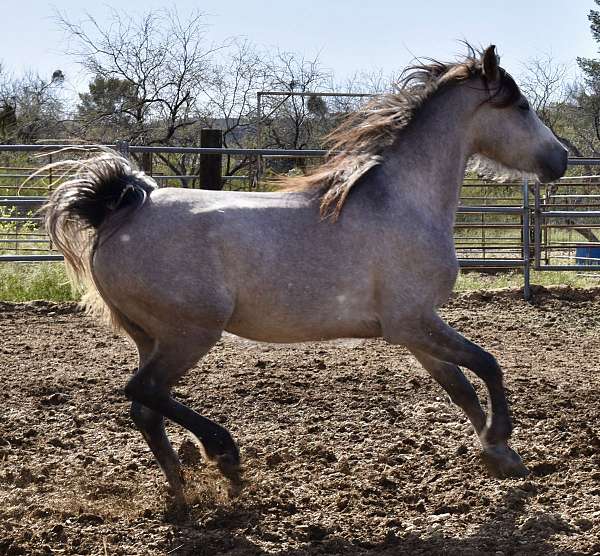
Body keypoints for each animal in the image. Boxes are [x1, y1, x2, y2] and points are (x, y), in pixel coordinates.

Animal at [41, 45, 568, 506]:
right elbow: (488, 364)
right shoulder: (413, 321)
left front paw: (500, 456)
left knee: (145, 409)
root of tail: (120, 212)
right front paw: (501, 438)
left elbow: (459, 386)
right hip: (189, 332)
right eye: (521, 106)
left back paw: (182, 491)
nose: (560, 159)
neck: (403, 201)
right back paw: (225, 456)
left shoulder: (412, 328)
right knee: (142, 390)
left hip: (149, 337)